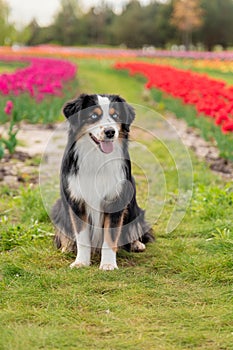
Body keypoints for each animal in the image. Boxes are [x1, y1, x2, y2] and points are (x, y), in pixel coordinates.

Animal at [52, 93, 155, 270]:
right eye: (94, 116)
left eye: (116, 116)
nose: (110, 132)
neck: (97, 158)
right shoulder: (76, 201)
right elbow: (82, 237)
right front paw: (81, 262)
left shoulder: (116, 199)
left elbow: (110, 236)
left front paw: (108, 264)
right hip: (59, 207)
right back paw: (67, 246)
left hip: (134, 207)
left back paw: (136, 244)